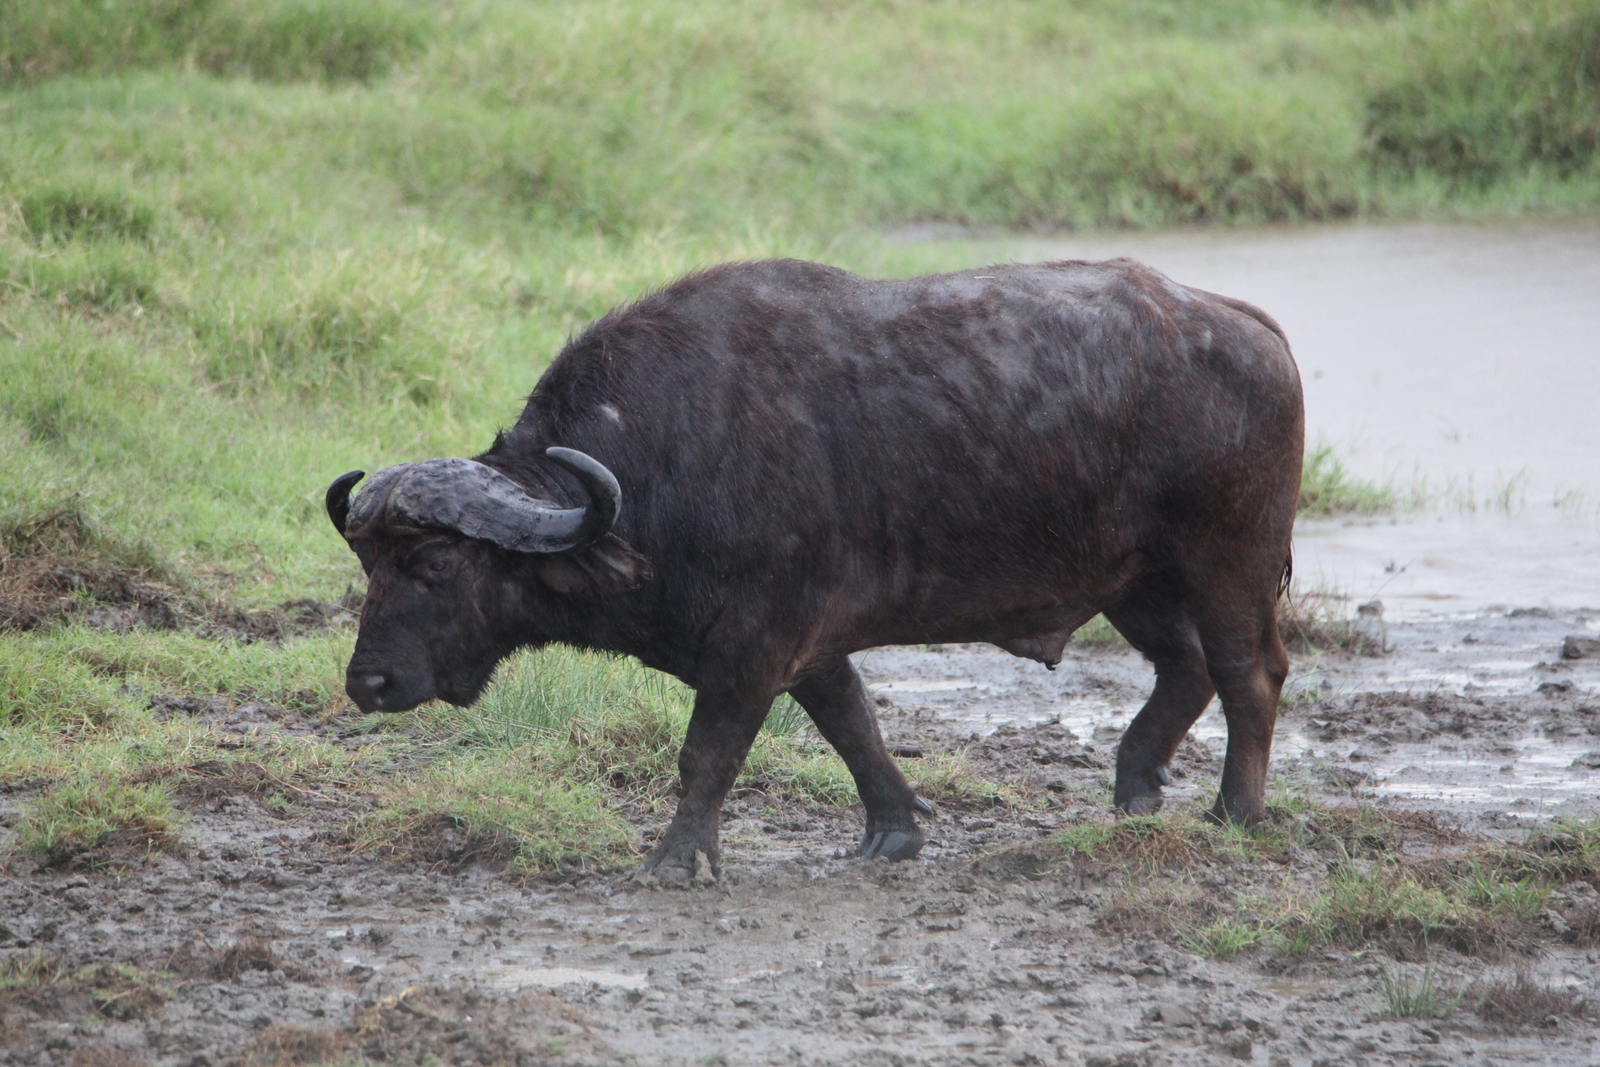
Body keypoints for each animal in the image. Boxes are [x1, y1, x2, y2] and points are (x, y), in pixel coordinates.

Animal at [324, 255, 1299, 876]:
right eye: (369, 564)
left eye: (437, 561)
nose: (368, 681)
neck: (664, 463)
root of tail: (1248, 326)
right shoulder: (809, 646)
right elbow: (852, 724)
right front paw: (893, 832)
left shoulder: (753, 648)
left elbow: (707, 754)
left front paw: (675, 860)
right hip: (1138, 581)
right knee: (1186, 667)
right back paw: (1135, 786)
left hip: (1229, 565)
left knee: (1247, 673)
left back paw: (1237, 813)